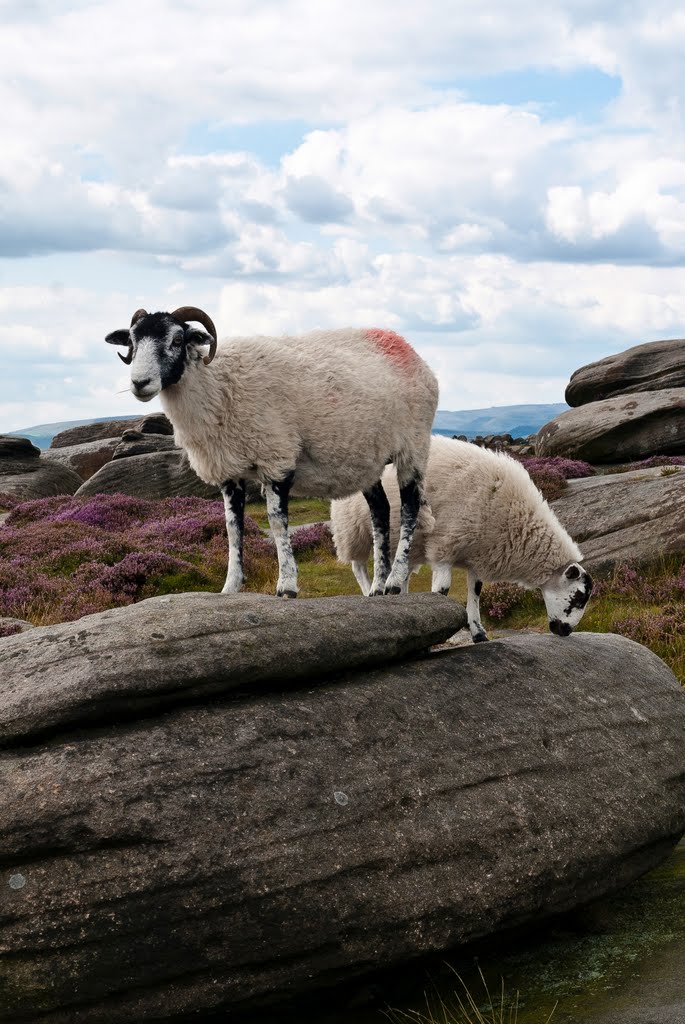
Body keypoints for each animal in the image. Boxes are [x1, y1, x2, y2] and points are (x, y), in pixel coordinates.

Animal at [106, 303, 438, 598]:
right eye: (132, 341)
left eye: (176, 339)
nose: (140, 383)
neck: (219, 384)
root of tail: (406, 347)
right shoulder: (229, 471)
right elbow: (232, 528)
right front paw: (230, 587)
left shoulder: (276, 457)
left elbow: (277, 522)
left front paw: (287, 585)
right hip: (367, 459)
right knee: (380, 511)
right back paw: (377, 587)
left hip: (414, 445)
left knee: (409, 506)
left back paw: (395, 581)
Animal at [327, 436, 589, 643]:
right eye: (577, 598)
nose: (566, 631)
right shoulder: (445, 546)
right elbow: (442, 590)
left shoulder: (479, 553)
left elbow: (475, 592)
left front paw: (478, 633)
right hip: (353, 530)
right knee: (358, 565)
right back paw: (370, 591)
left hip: (408, 545)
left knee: (401, 572)